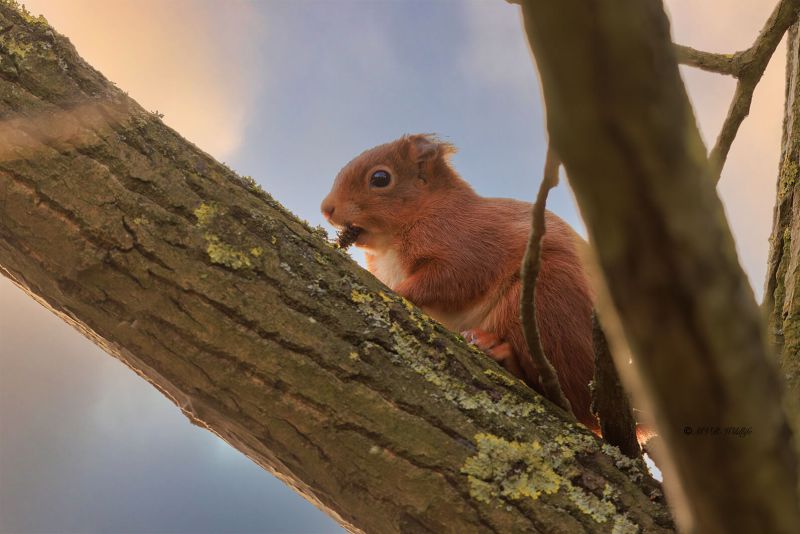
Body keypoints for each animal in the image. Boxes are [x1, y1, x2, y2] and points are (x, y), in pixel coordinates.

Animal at [321, 134, 596, 429]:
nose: (326, 209)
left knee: (565, 391)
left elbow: (450, 280)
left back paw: (498, 351)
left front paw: (400, 290)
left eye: (380, 178)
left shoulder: (468, 247)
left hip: (546, 303)